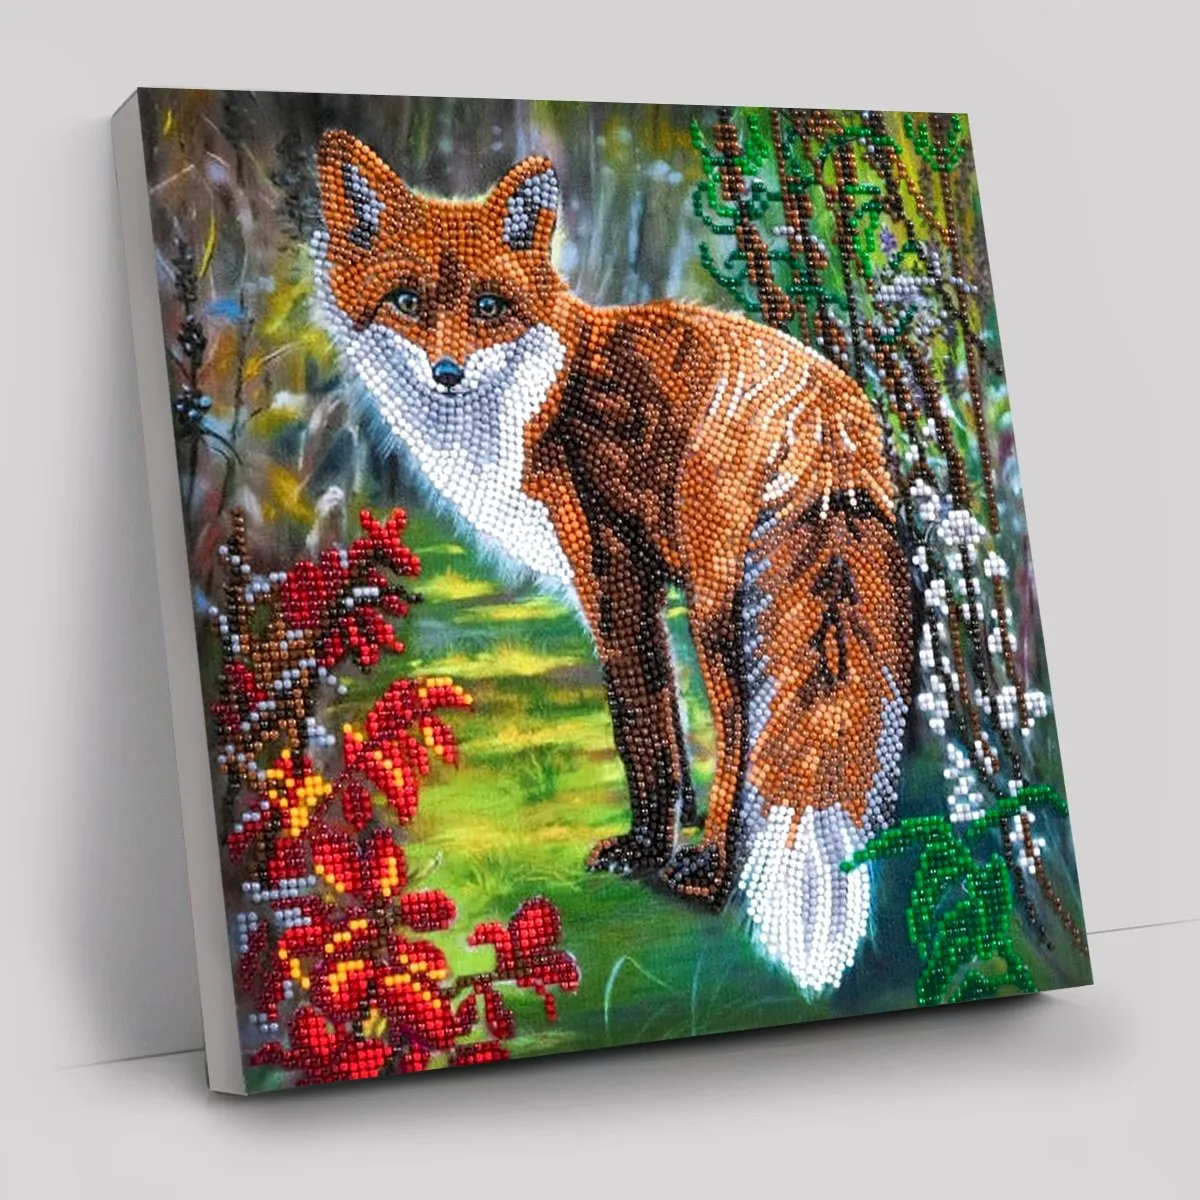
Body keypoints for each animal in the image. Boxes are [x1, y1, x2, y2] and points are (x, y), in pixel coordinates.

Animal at [313, 130, 913, 991]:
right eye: (406, 302)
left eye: (488, 307)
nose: (446, 375)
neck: (531, 400)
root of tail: (829, 408)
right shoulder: (638, 582)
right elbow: (669, 719)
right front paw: (677, 815)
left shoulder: (613, 574)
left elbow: (640, 727)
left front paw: (645, 847)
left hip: (720, 605)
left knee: (743, 731)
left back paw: (712, 874)